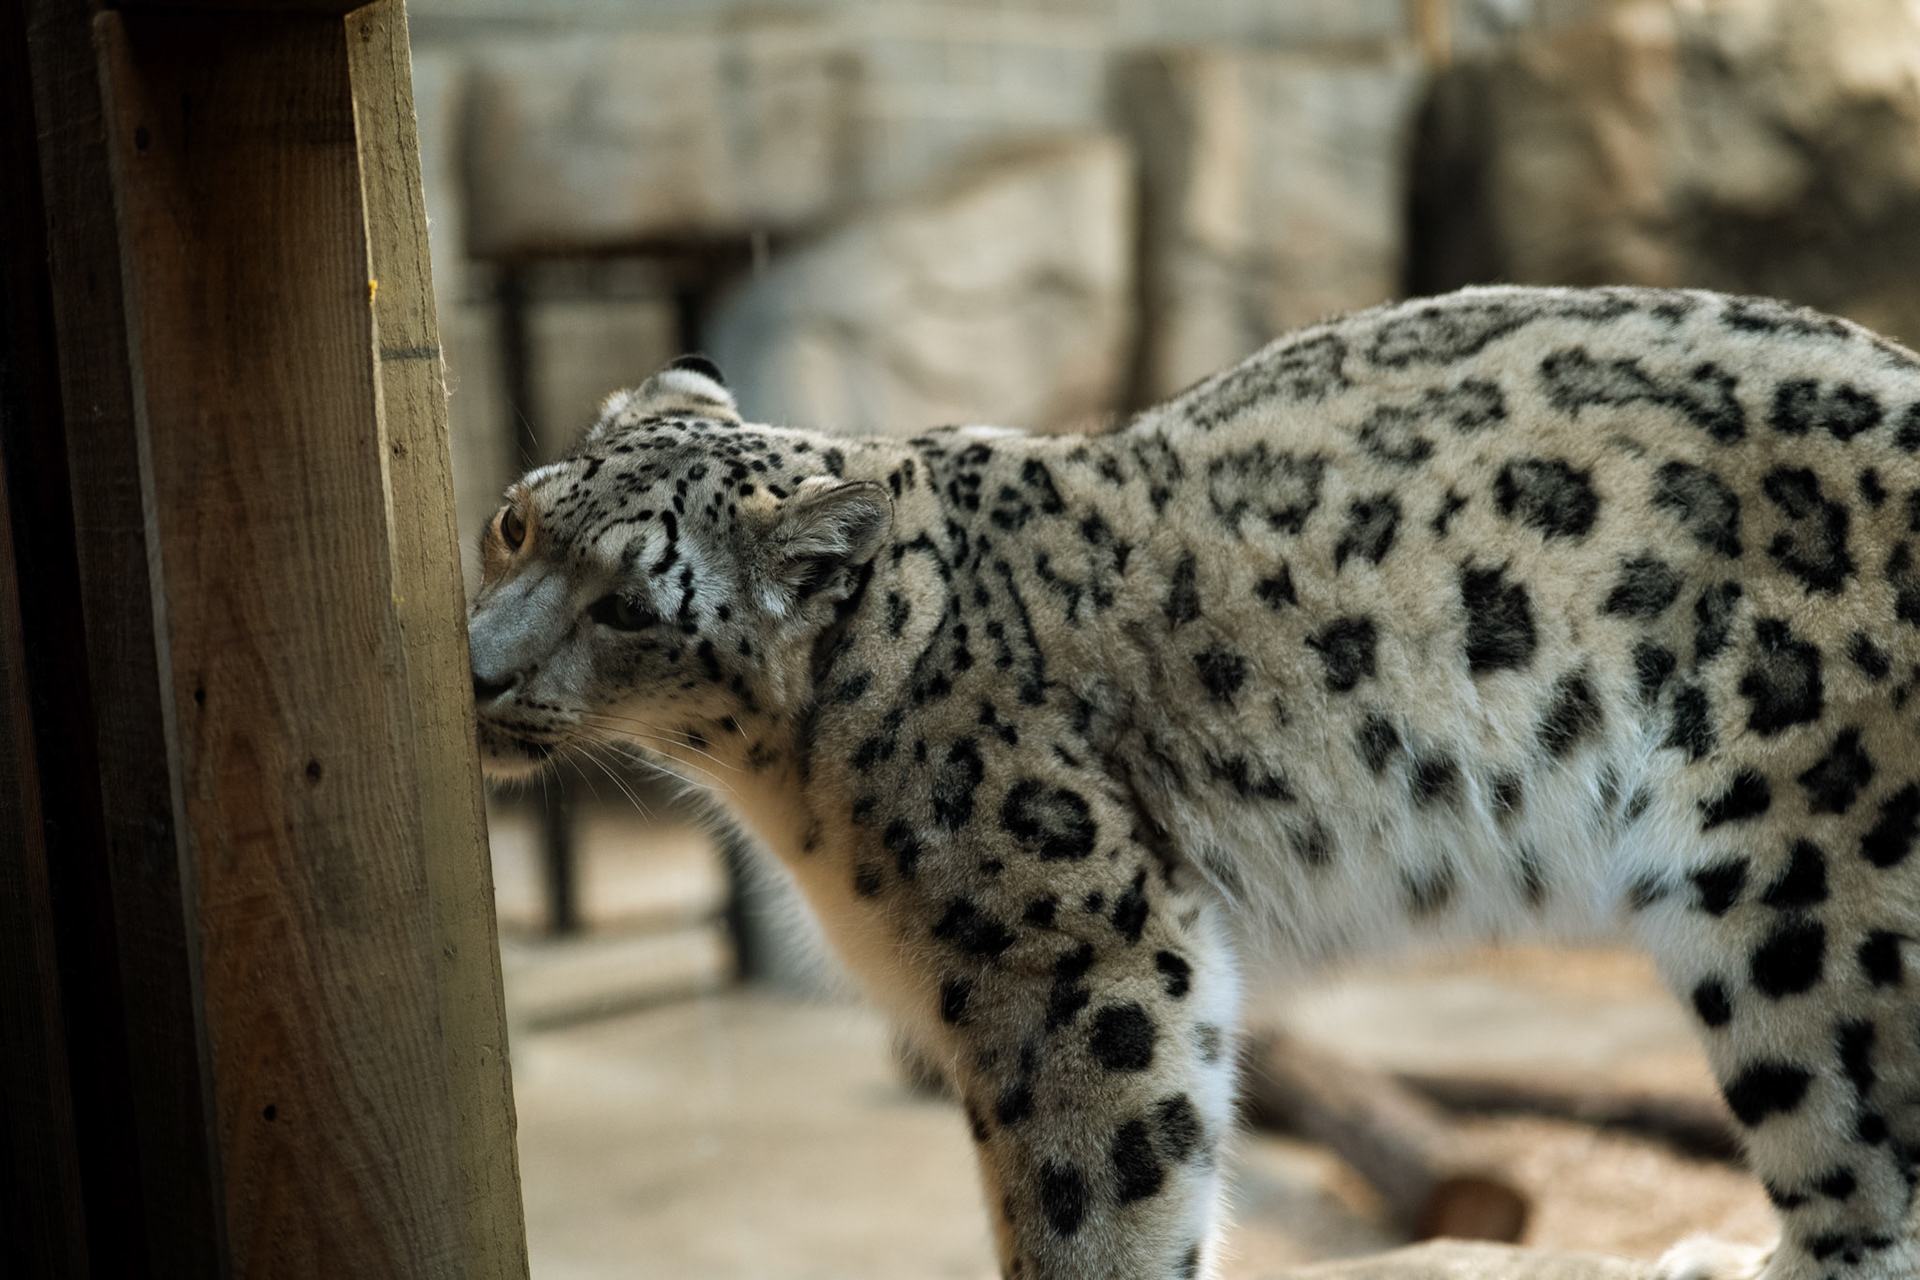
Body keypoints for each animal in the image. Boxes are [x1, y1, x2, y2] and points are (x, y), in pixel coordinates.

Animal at [467, 285, 1920, 1280]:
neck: (791, 789)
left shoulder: (1071, 955)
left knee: (1863, 1165)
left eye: (630, 605)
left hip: (1803, 898)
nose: (474, 670)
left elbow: (1094, 1194)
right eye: (515, 521)